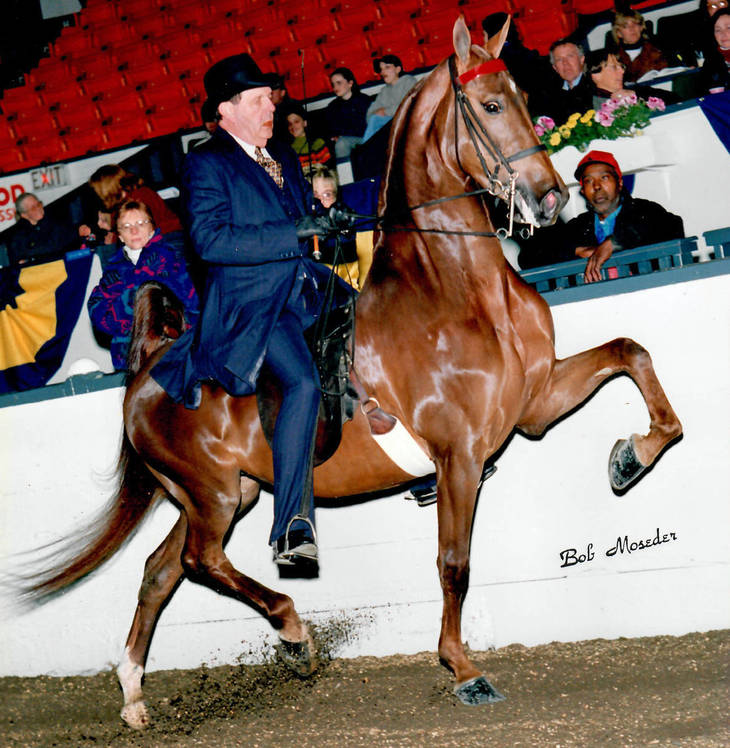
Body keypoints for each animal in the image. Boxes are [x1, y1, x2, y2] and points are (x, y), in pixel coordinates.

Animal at [22, 17, 682, 729]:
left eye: (528, 100)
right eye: (489, 106)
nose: (552, 197)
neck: (458, 292)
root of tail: (147, 368)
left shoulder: (534, 403)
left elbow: (631, 354)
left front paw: (632, 456)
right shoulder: (459, 453)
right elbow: (454, 563)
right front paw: (463, 669)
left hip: (227, 494)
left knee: (160, 568)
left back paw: (136, 696)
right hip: (212, 495)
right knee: (201, 560)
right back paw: (292, 630)